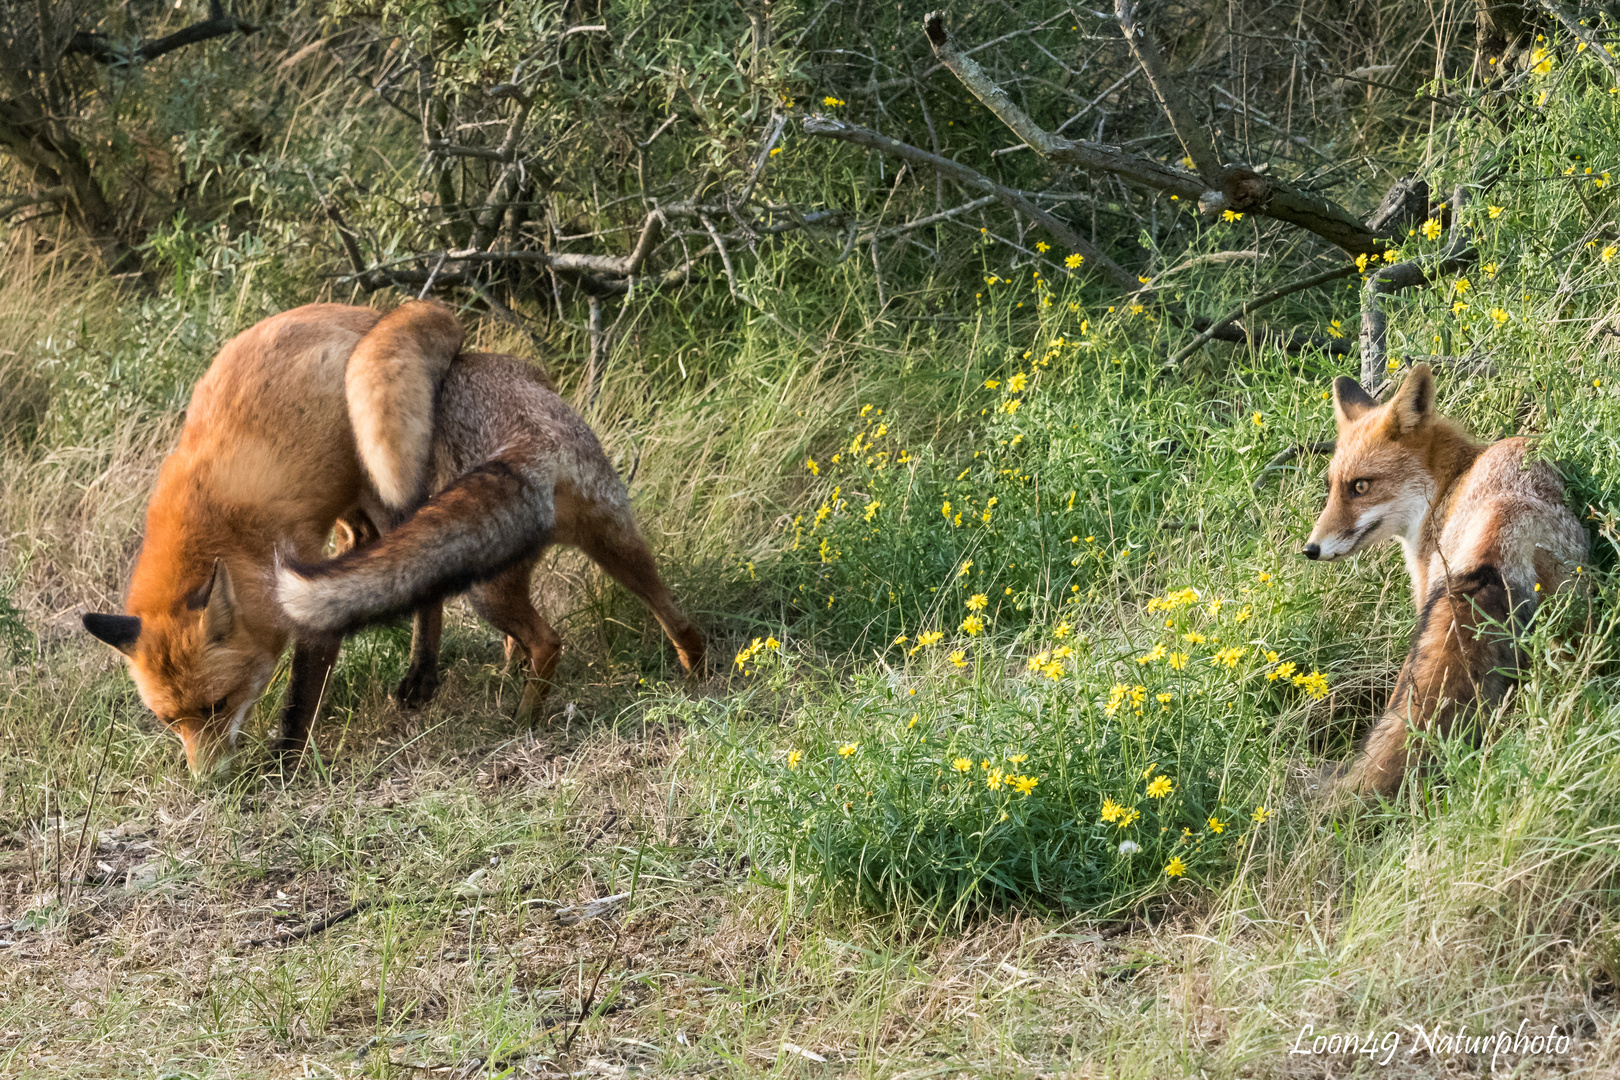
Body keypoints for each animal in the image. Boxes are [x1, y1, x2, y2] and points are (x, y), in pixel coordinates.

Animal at [82, 302, 703, 777]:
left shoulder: (306, 612)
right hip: (600, 540)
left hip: (403, 502)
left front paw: (283, 768)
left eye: (219, 705)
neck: (214, 526)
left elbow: (298, 701)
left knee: (472, 611)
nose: (208, 782)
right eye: (170, 722)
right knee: (666, 612)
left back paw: (464, 693)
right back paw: (684, 671)